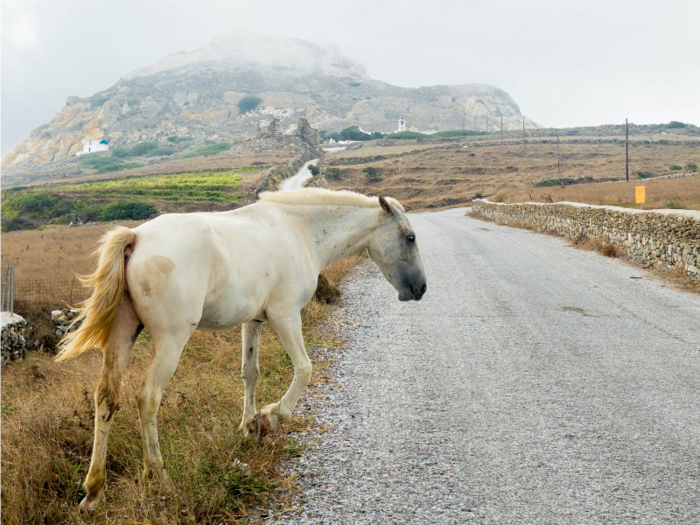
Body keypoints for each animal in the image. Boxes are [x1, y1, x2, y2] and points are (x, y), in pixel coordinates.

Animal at [54, 187, 424, 508]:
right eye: (410, 237)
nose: (420, 288)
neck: (299, 229)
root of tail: (136, 238)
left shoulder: (254, 321)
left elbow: (250, 373)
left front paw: (249, 426)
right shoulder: (285, 315)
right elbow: (304, 369)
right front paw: (271, 417)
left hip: (122, 336)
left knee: (107, 399)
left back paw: (94, 490)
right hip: (171, 341)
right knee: (148, 398)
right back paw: (157, 475)